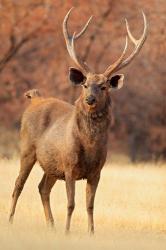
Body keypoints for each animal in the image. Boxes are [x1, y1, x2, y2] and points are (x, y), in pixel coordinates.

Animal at [8, 8, 147, 234]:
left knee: (42, 187)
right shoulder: (70, 166)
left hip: (52, 165)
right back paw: (10, 221)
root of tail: (34, 98)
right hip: (27, 149)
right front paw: (67, 232)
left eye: (104, 86)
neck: (89, 145)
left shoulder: (97, 171)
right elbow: (71, 203)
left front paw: (91, 233)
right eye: (85, 85)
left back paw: (51, 225)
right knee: (18, 185)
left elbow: (90, 205)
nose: (90, 99)